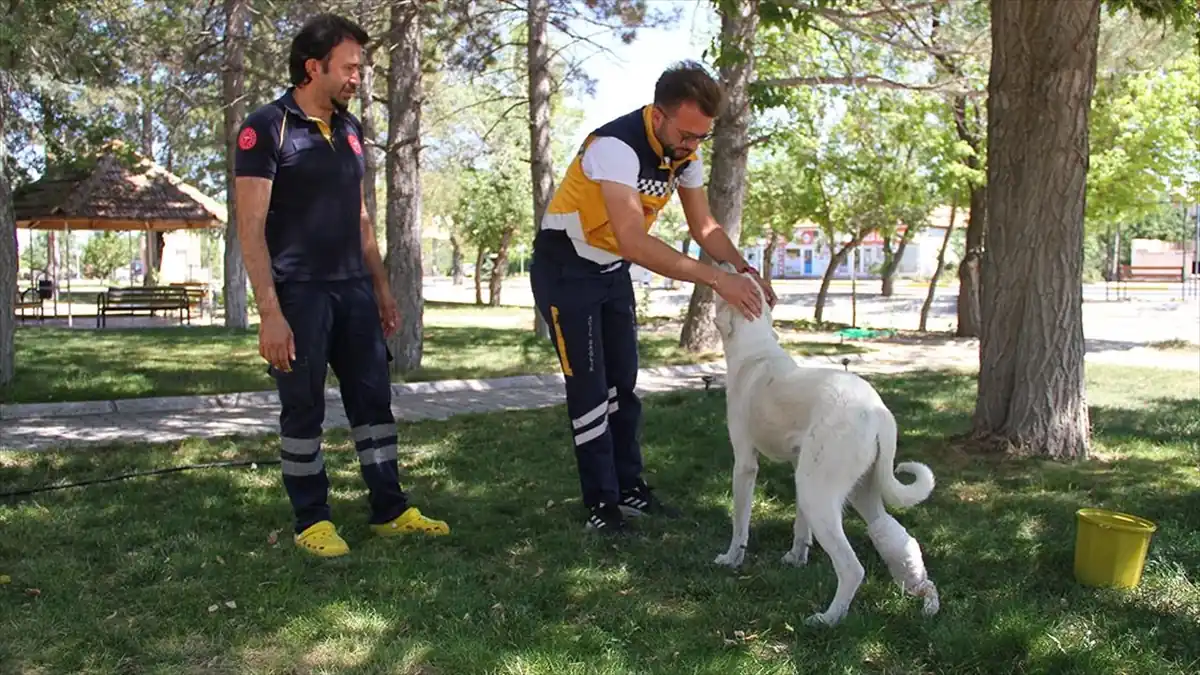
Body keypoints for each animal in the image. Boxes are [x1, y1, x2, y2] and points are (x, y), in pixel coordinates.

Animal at [710, 264, 936, 624]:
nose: (729, 265)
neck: (755, 349)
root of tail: (877, 410)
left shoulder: (745, 463)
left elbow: (740, 522)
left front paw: (732, 559)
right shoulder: (797, 463)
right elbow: (801, 528)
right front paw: (795, 559)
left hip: (818, 491)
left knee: (852, 568)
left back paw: (828, 619)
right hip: (856, 489)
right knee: (897, 537)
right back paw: (926, 598)